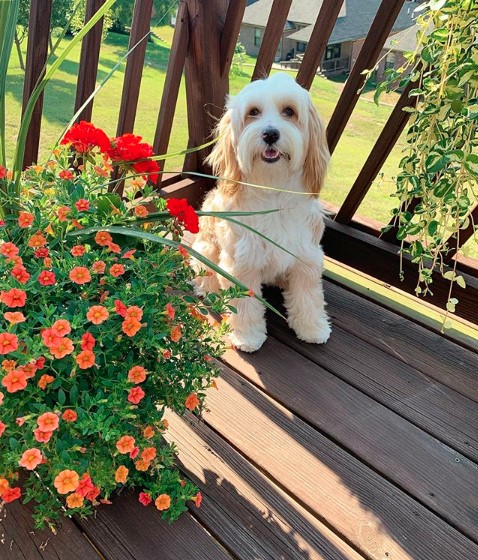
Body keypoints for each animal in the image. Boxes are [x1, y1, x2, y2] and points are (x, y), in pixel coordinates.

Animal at [192, 72, 330, 352]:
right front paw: (247, 336)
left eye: (289, 111)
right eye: (253, 112)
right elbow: (244, 305)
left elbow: (308, 296)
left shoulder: (306, 256)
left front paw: (312, 327)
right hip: (206, 249)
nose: (270, 134)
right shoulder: (241, 263)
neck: (272, 188)